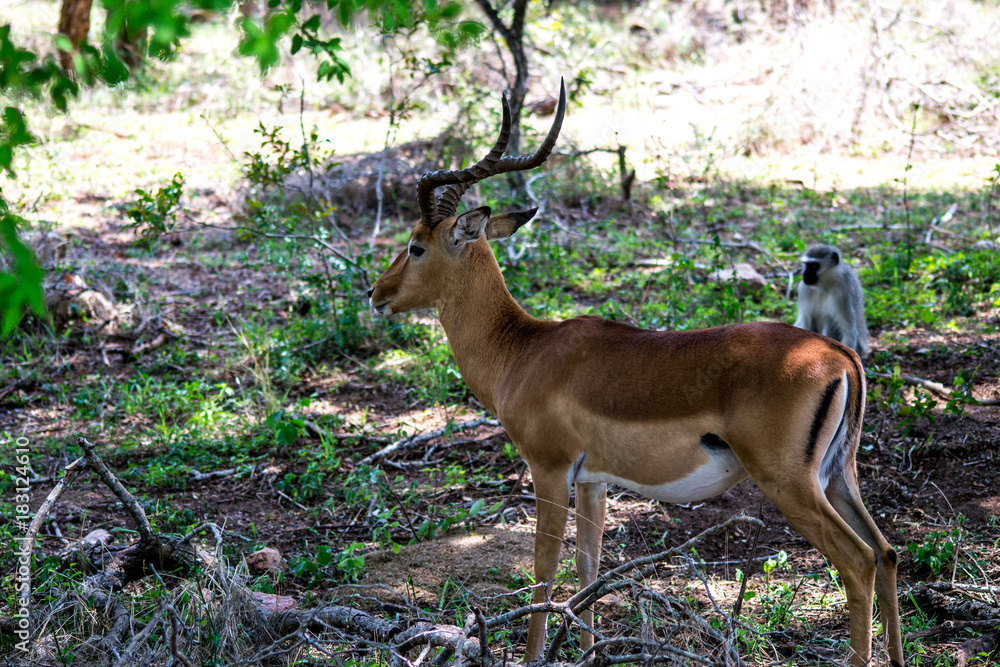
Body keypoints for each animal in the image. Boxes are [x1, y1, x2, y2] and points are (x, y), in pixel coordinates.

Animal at [368, 81, 904, 667]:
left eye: (416, 245)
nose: (376, 293)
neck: (523, 351)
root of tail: (839, 355)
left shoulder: (549, 470)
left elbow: (543, 571)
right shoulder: (593, 481)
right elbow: (588, 569)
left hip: (789, 482)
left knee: (858, 561)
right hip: (839, 475)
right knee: (887, 552)